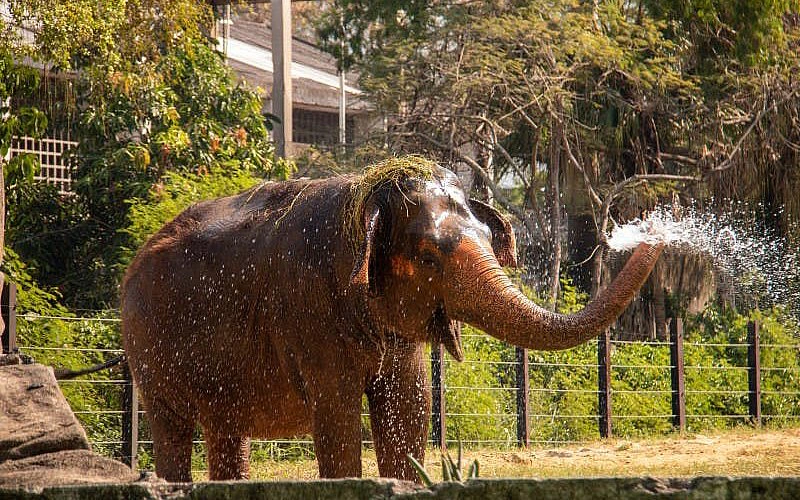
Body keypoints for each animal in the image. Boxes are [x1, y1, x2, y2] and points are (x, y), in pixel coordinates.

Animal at [121, 156, 664, 482]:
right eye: (427, 257)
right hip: (148, 348)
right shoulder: (307, 310)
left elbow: (408, 406)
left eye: (491, 242)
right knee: (173, 429)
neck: (365, 198)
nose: (657, 225)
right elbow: (337, 411)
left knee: (227, 433)